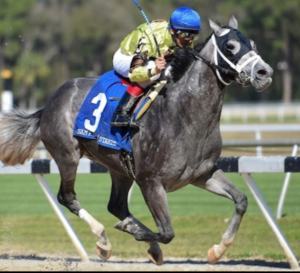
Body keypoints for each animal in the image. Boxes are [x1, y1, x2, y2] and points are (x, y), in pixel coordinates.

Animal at [0, 16, 272, 264]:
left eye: (253, 44)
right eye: (230, 46)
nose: (264, 72)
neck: (185, 116)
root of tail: (49, 104)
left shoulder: (202, 173)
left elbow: (241, 200)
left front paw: (218, 250)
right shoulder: (150, 181)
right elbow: (167, 232)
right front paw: (133, 231)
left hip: (118, 167)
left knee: (117, 205)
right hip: (68, 155)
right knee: (67, 197)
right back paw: (103, 240)